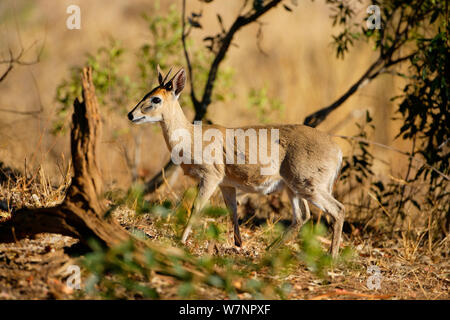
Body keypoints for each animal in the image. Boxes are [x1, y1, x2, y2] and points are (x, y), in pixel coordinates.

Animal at [126, 65, 344, 258]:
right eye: (147, 93)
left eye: (156, 98)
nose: (131, 114)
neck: (191, 136)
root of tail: (338, 150)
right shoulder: (227, 184)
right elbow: (233, 210)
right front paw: (238, 244)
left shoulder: (211, 177)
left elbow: (197, 207)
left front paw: (180, 240)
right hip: (294, 188)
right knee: (302, 216)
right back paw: (270, 250)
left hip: (308, 185)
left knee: (337, 210)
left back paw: (331, 257)